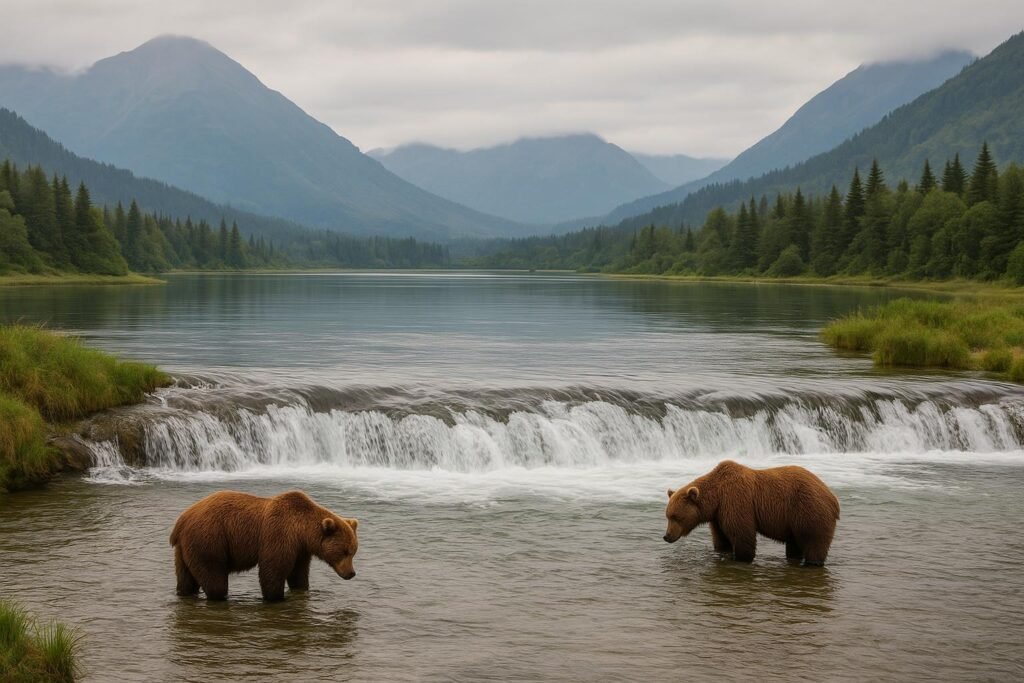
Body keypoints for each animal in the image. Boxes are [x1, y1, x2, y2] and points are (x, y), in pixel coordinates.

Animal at [170, 490, 359, 601]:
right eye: (344, 551)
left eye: (354, 551)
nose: (351, 573)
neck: (302, 532)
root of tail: (181, 521)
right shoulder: (279, 534)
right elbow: (273, 569)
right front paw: (276, 597)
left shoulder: (300, 550)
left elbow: (298, 573)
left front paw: (300, 589)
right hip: (210, 539)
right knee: (214, 577)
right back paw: (219, 597)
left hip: (185, 549)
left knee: (186, 578)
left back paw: (185, 593)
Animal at [663, 460, 839, 566]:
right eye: (667, 516)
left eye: (676, 517)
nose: (667, 536)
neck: (717, 497)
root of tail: (832, 497)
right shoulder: (718, 515)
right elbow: (721, 540)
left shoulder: (736, 501)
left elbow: (742, 535)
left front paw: (741, 558)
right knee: (794, 545)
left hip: (808, 510)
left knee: (814, 542)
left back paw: (812, 564)